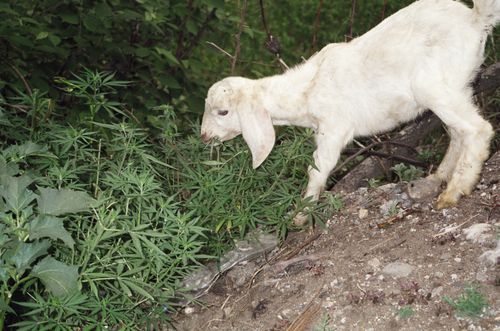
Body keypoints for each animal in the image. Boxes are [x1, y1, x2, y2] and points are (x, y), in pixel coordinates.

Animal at [201, 0, 498, 224]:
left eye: (223, 111)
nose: (204, 136)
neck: (305, 90)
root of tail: (475, 19)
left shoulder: (334, 128)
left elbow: (317, 168)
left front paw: (299, 216)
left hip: (433, 87)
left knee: (478, 129)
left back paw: (454, 192)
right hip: (460, 86)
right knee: (459, 132)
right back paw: (439, 177)